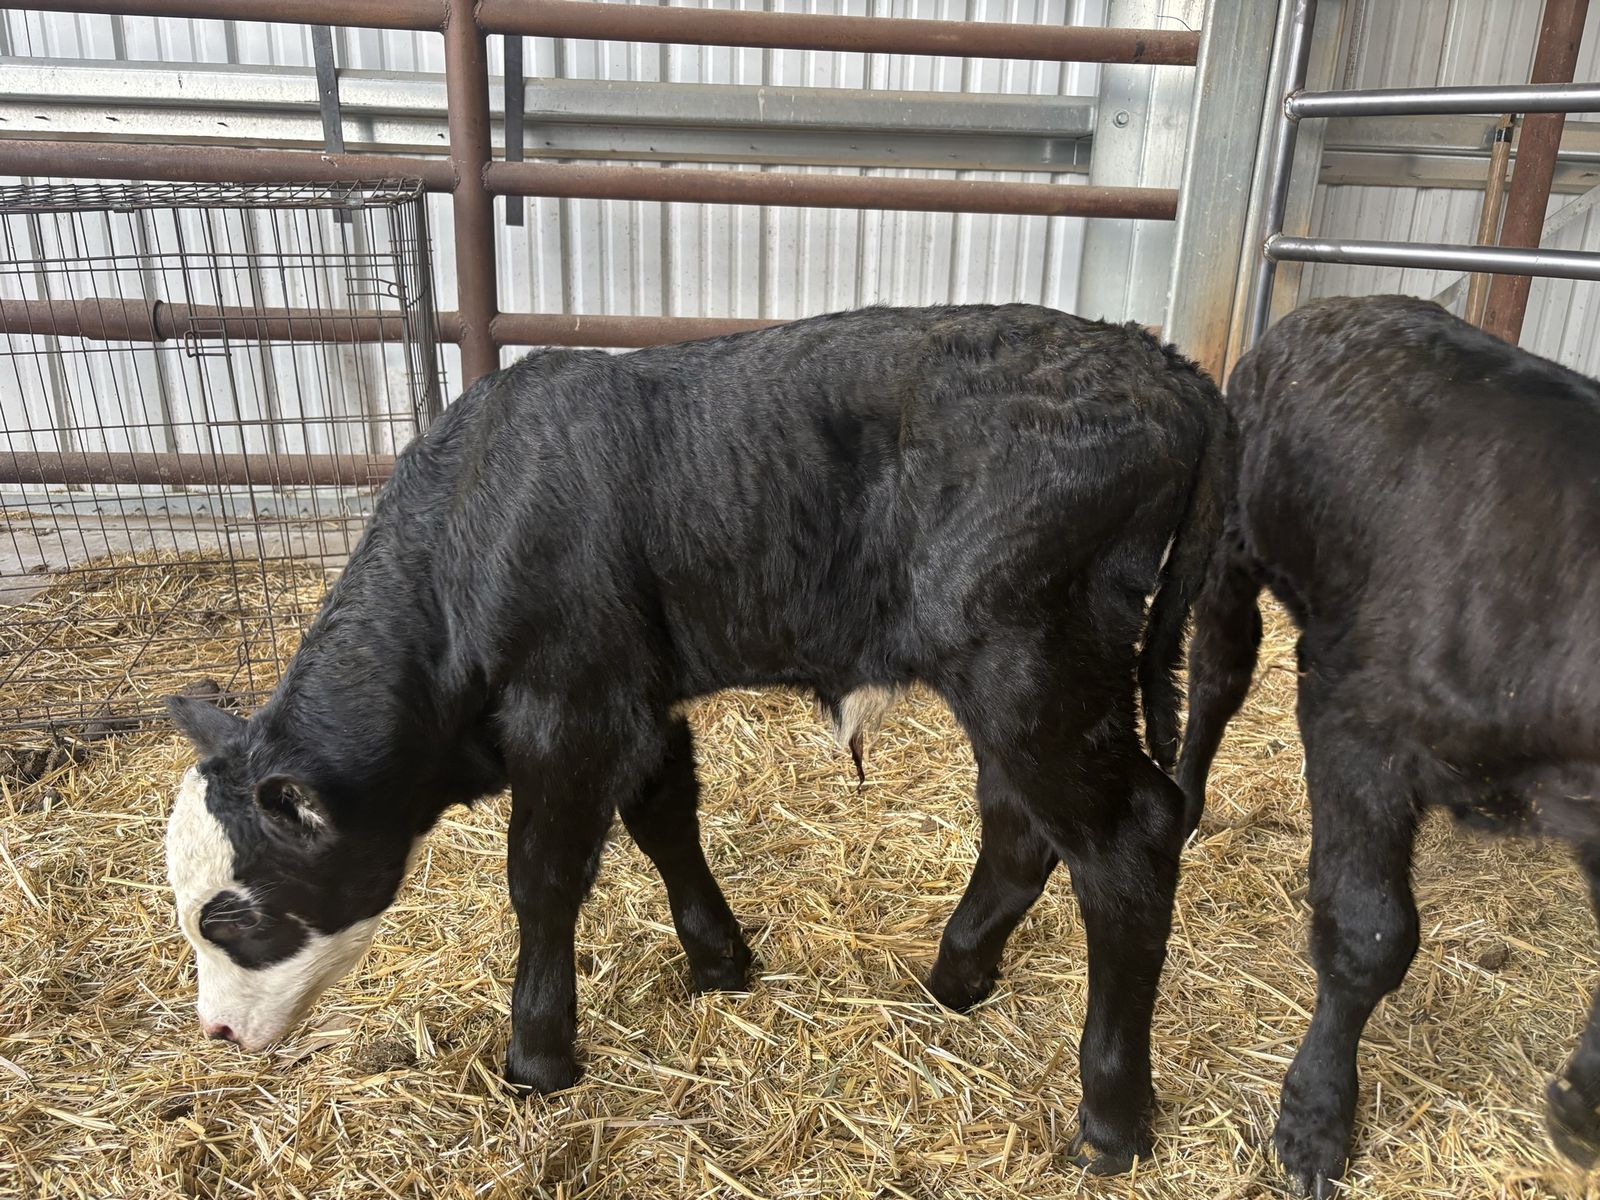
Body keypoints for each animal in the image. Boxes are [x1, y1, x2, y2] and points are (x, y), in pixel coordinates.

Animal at [164, 303, 1226, 1172]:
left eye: (236, 917)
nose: (214, 1033)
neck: (475, 521)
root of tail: (1160, 364)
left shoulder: (572, 706)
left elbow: (542, 876)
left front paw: (537, 1055)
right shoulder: (637, 701)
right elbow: (665, 820)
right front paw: (719, 963)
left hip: (1028, 664)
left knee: (1126, 838)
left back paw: (1112, 1118)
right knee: (1021, 825)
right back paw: (957, 978)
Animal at [1176, 293, 1600, 1193]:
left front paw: (1579, 1109)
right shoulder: (1355, 723)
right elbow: (1370, 933)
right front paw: (1315, 1118)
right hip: (1235, 549)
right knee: (1218, 674)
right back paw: (1185, 802)